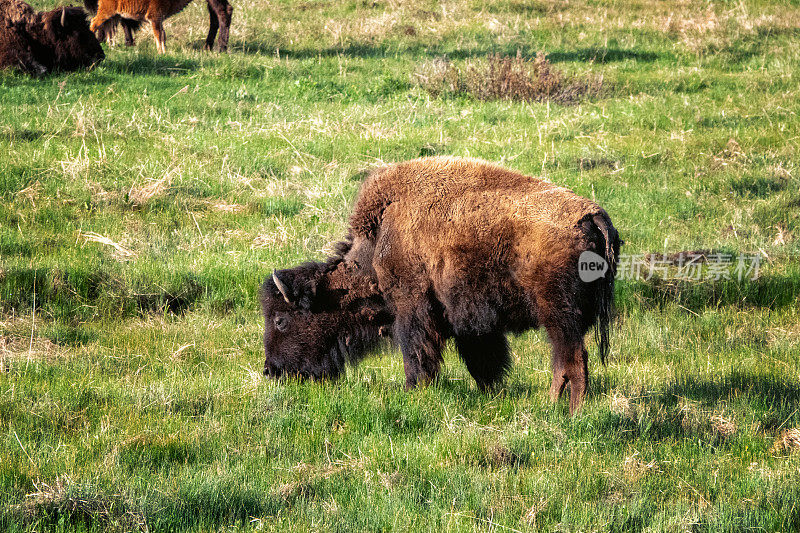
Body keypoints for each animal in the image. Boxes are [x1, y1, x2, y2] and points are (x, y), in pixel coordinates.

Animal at [87, 0, 231, 53]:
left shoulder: (158, 20)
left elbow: (162, 35)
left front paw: (163, 51)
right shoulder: (155, 19)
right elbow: (159, 35)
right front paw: (161, 52)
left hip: (113, 15)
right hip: (108, 13)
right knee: (95, 23)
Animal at [260, 156, 620, 414]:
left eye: (281, 320)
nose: (271, 371)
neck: (378, 243)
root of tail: (591, 215)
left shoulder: (413, 310)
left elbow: (418, 354)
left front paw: (413, 391)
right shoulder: (473, 325)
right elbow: (483, 361)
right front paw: (491, 392)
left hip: (558, 315)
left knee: (572, 361)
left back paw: (566, 412)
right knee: (567, 362)